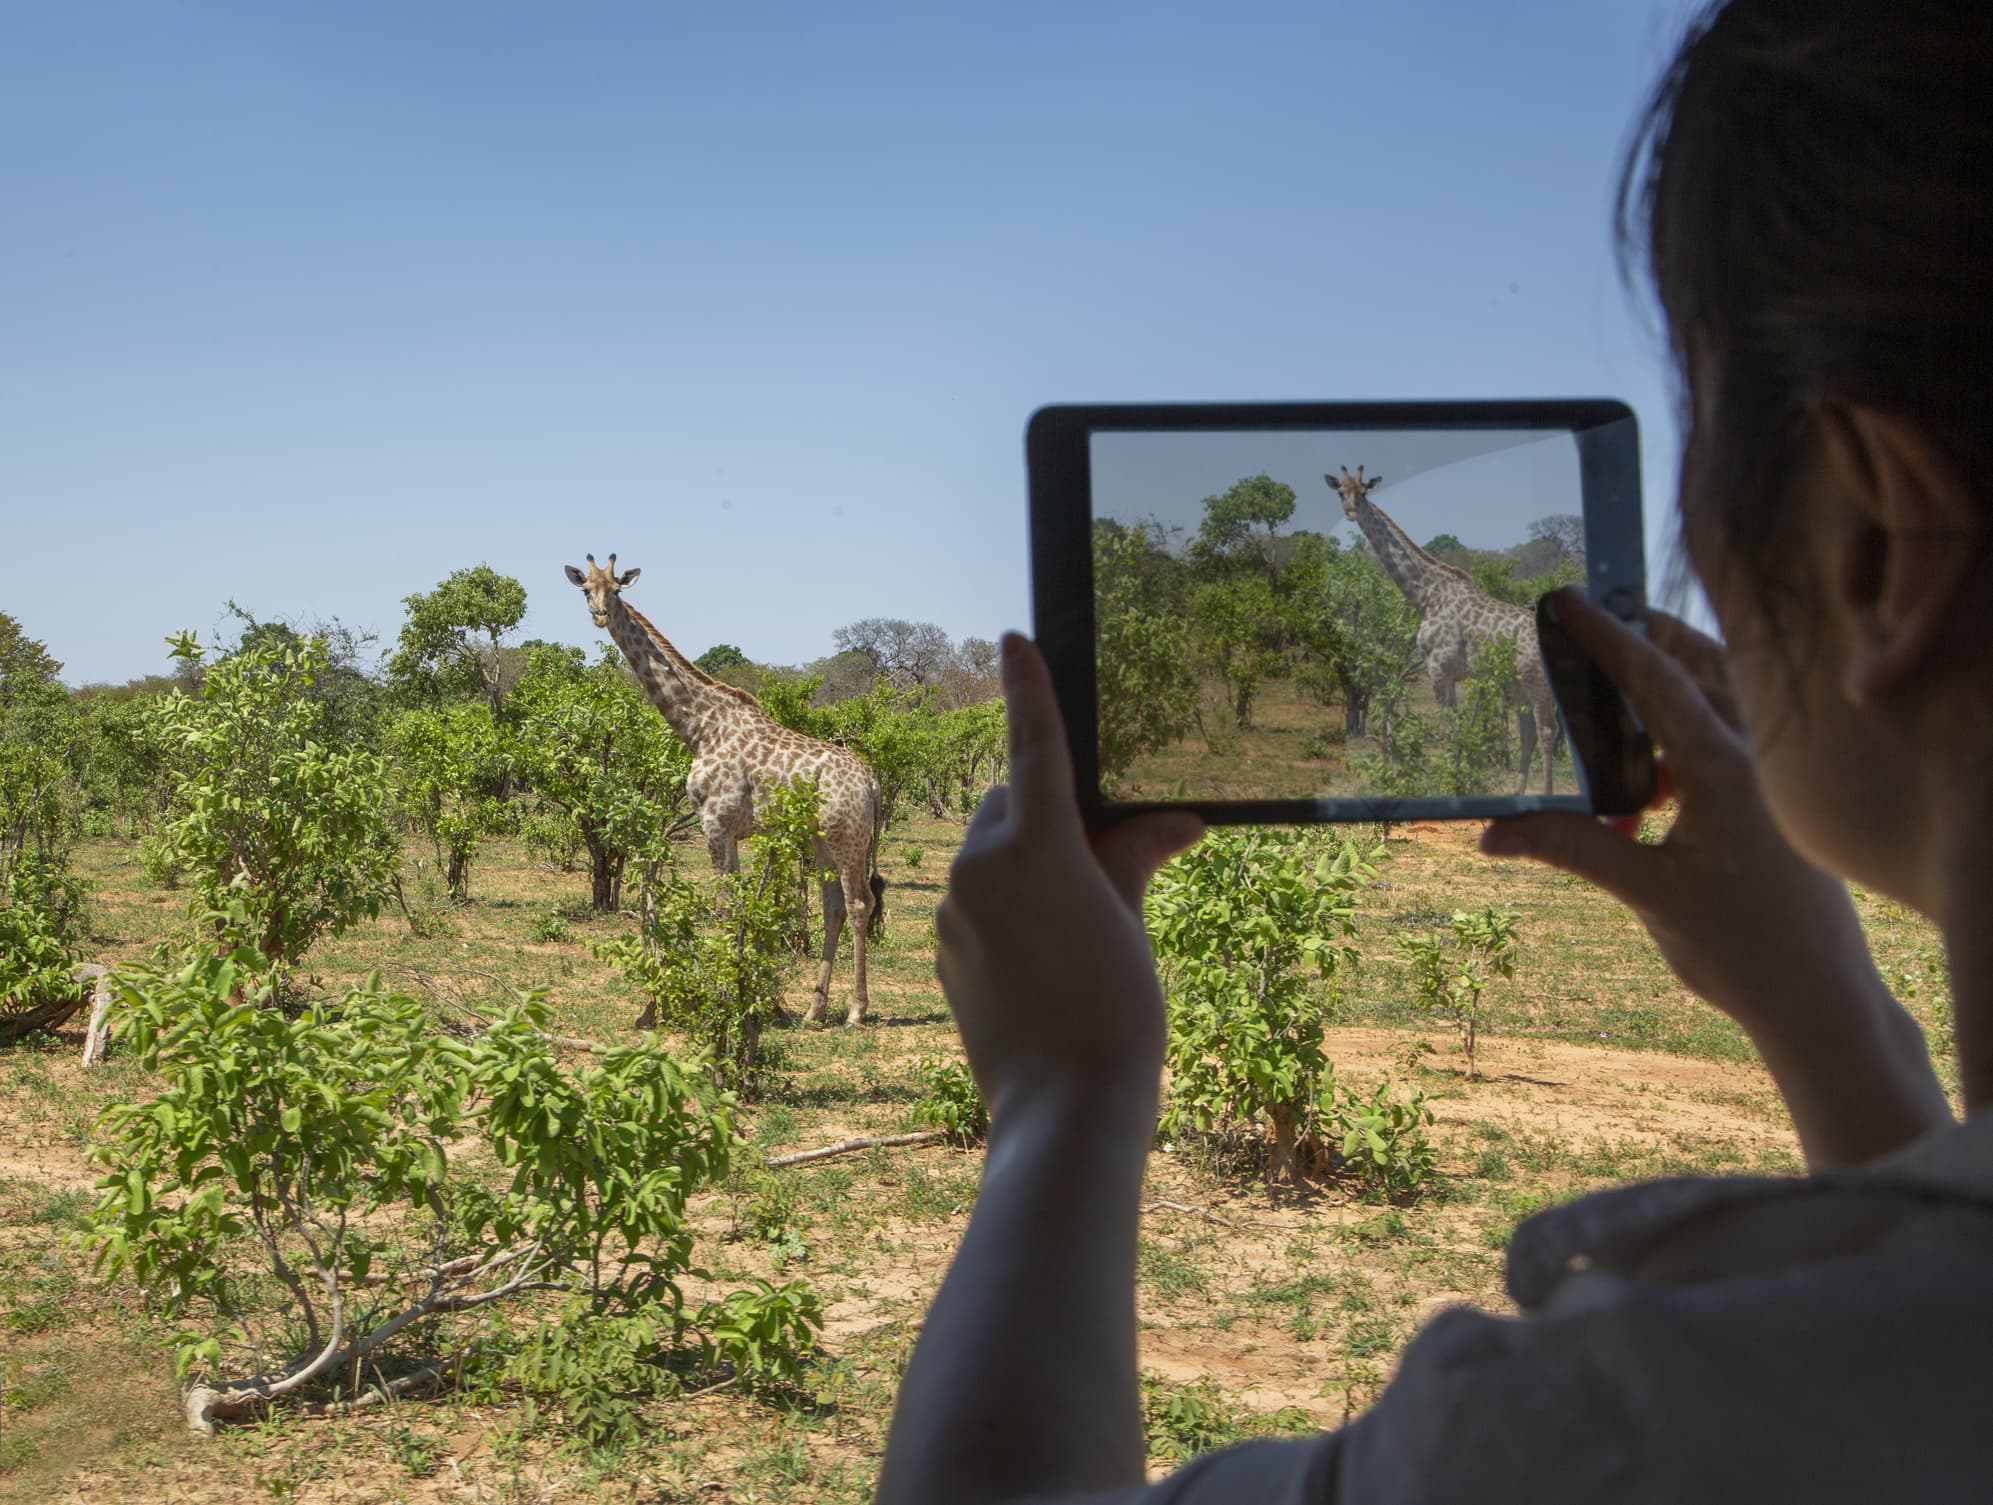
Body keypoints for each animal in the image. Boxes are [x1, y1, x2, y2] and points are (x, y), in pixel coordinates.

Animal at [566, 554, 884, 1020]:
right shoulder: (730, 829)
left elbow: (723, 907)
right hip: (820, 837)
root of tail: (872, 782)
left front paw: (724, 994)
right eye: (586, 589)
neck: (699, 727)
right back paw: (813, 1011)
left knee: (860, 904)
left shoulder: (714, 822)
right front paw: (736, 987)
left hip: (847, 837)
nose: (601, 614)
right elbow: (735, 905)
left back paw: (856, 1011)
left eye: (618, 589)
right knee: (834, 906)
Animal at [1331, 468, 1562, 801]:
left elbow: (1443, 733)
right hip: (1516, 680)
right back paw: (1518, 794)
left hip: (1536, 678)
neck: (1426, 596)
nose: (1350, 512)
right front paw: (1455, 782)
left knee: (1546, 730)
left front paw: (1445, 787)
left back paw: (1546, 795)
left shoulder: (1437, 668)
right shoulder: (1450, 673)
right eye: (1341, 492)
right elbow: (1454, 731)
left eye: (1363, 493)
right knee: (1528, 728)